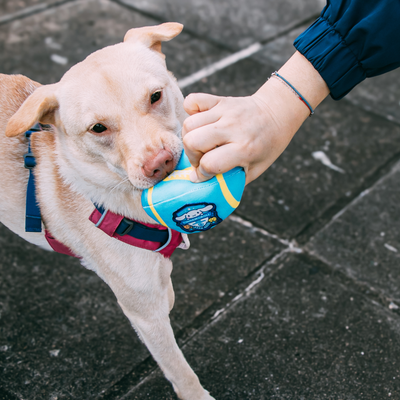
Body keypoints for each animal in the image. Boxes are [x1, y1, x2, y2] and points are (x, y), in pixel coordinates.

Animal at [0, 23, 216, 400]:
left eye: (155, 96)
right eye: (97, 128)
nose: (160, 164)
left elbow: (167, 290)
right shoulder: (144, 313)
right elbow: (179, 369)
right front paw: (197, 394)